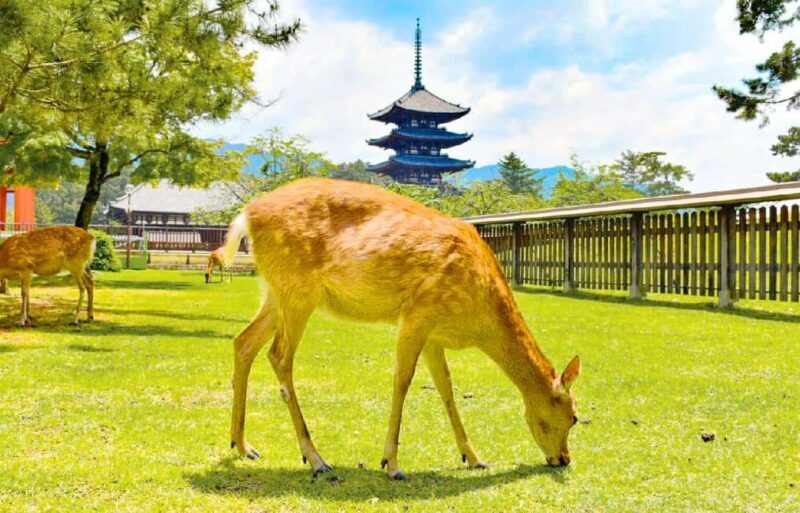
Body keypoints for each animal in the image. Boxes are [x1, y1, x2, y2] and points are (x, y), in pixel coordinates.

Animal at [223, 178, 581, 480]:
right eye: (574, 416)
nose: (564, 459)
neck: (477, 321)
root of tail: (245, 216)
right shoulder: (417, 315)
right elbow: (403, 381)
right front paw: (392, 463)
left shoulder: (434, 334)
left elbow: (446, 387)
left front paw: (474, 457)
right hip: (297, 292)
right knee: (279, 356)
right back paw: (315, 458)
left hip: (275, 293)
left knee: (244, 341)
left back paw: (243, 446)